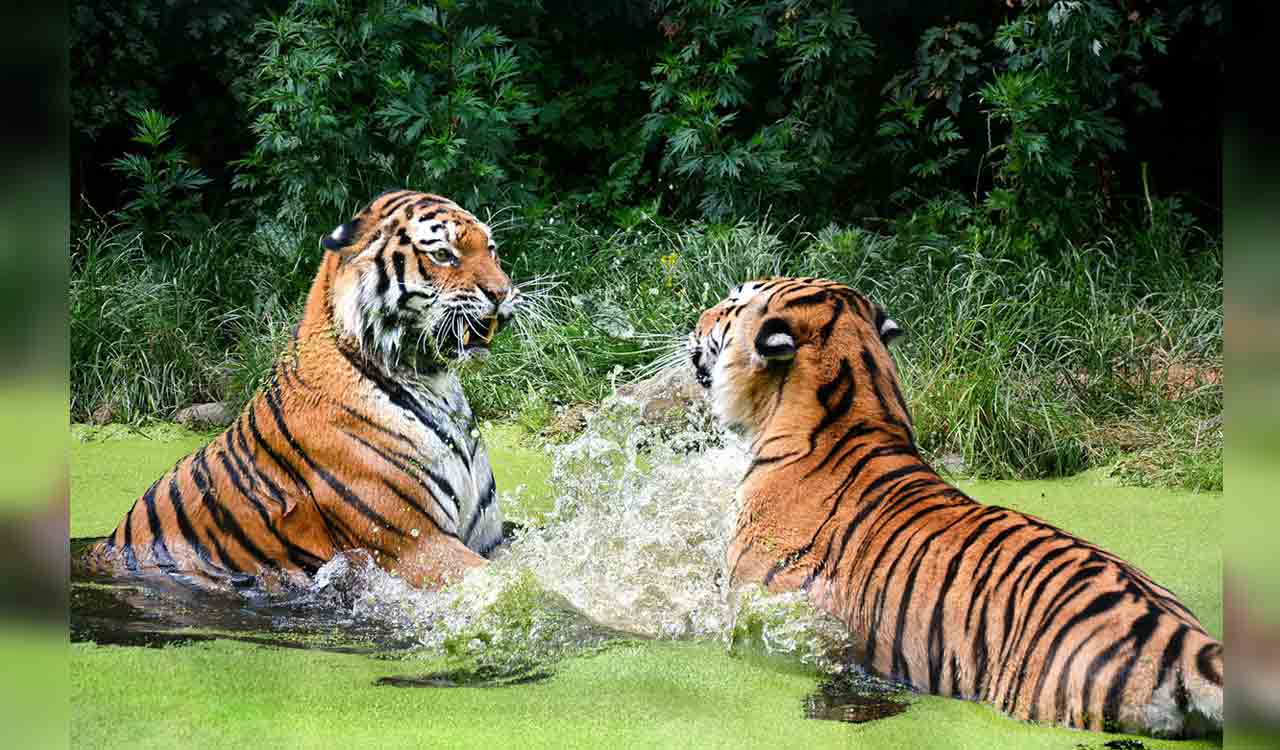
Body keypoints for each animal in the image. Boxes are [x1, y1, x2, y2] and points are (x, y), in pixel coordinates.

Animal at [85, 190, 520, 589]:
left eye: (492, 250)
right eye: (444, 254)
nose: (502, 293)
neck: (435, 383)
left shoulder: (487, 539)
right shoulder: (418, 544)